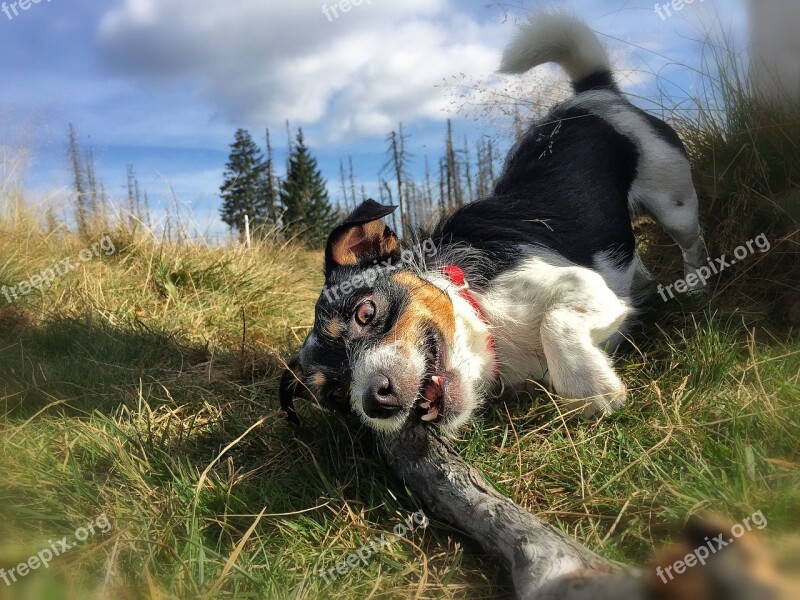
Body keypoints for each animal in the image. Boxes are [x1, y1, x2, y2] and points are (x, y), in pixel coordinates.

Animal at [278, 12, 708, 436]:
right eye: (335, 394)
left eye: (365, 313)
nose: (374, 400)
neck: (485, 321)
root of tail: (594, 92)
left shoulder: (584, 286)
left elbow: (555, 323)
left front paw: (590, 386)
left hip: (674, 199)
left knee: (692, 242)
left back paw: (696, 285)